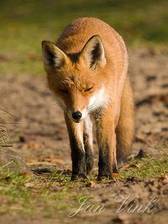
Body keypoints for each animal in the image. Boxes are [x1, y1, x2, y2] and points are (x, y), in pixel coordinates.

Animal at [41, 17, 134, 180]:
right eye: (64, 90)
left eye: (88, 89)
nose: (76, 114)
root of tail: (91, 18)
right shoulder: (67, 113)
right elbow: (77, 148)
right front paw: (78, 175)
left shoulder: (105, 109)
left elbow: (106, 145)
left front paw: (105, 175)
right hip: (86, 115)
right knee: (88, 137)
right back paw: (89, 165)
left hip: (114, 109)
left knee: (113, 137)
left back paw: (114, 168)